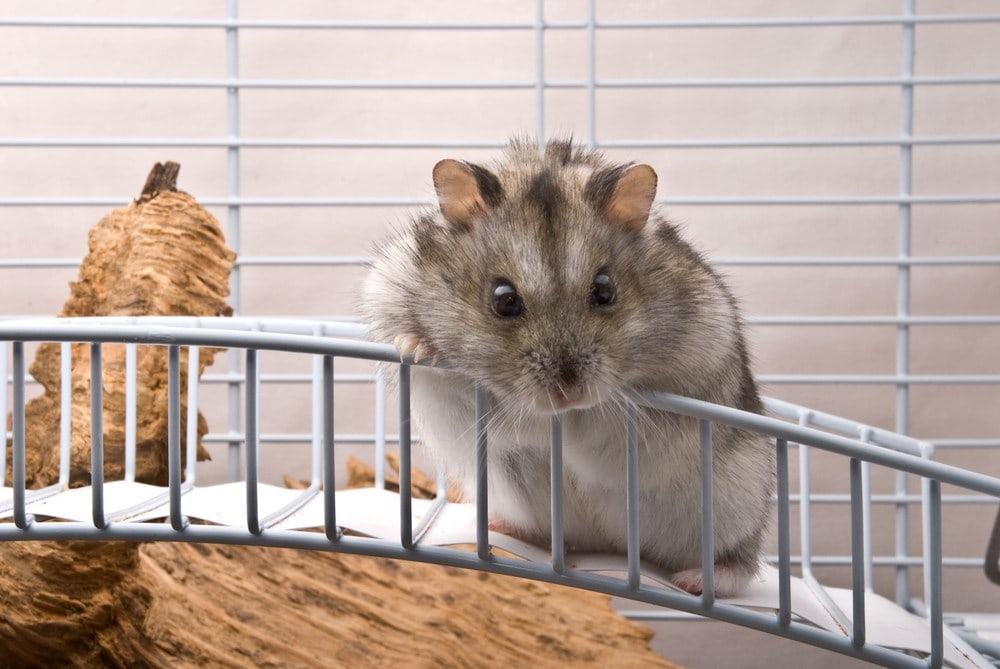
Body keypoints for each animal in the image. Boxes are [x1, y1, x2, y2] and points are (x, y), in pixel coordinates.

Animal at [363, 138, 774, 597]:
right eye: (503, 299)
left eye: (605, 290)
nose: (569, 395)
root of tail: (611, 547)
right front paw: (417, 346)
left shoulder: (700, 361)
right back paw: (500, 526)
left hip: (736, 504)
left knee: (742, 563)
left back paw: (698, 581)